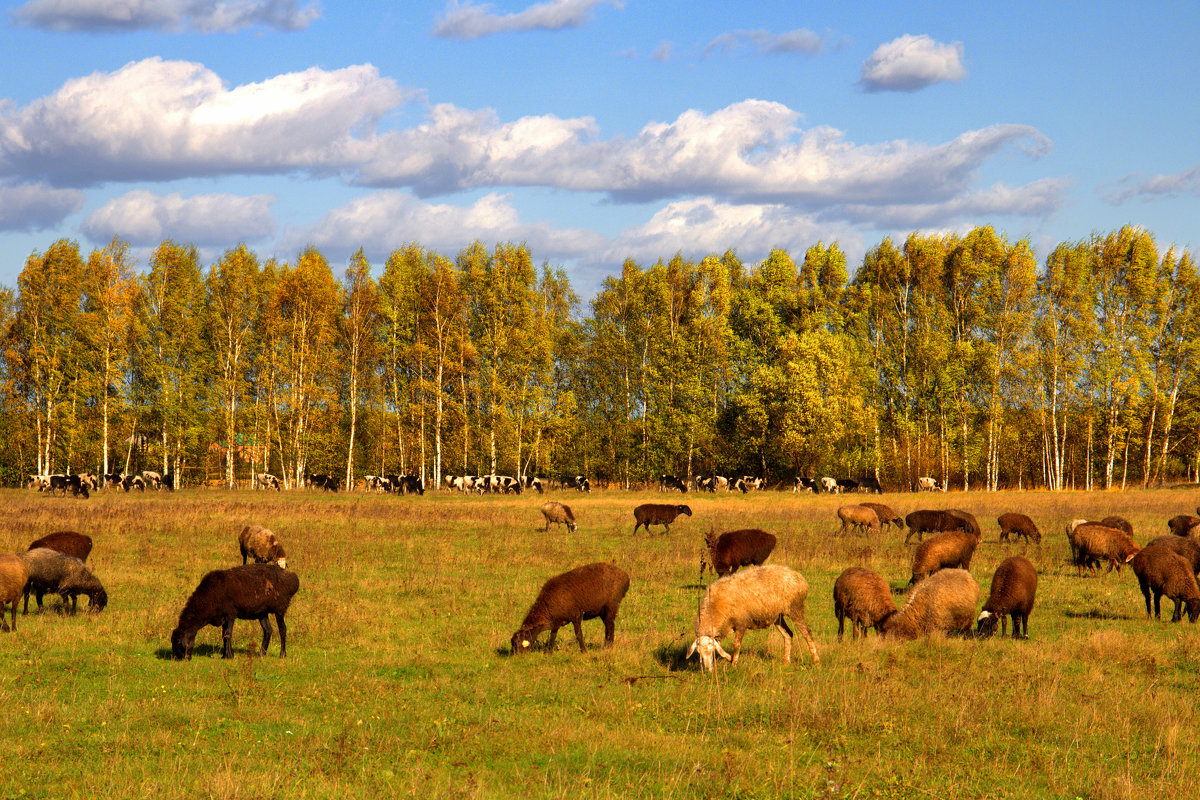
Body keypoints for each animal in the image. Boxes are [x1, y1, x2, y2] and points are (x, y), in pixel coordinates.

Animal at [169, 561, 300, 662]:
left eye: (178, 642)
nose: (177, 658)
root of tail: (293, 579)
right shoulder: (223, 617)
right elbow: (224, 635)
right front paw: (224, 655)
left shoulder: (230, 614)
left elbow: (228, 634)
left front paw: (229, 656)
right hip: (262, 612)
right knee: (268, 630)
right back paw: (261, 654)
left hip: (280, 608)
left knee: (282, 630)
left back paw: (282, 654)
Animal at [691, 566, 820, 671]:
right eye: (699, 653)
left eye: (711, 650)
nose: (707, 670)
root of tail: (799, 577)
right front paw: (729, 658)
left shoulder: (741, 623)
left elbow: (736, 645)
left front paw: (733, 664)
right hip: (777, 616)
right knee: (788, 634)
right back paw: (786, 662)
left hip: (795, 608)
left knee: (807, 634)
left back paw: (816, 661)